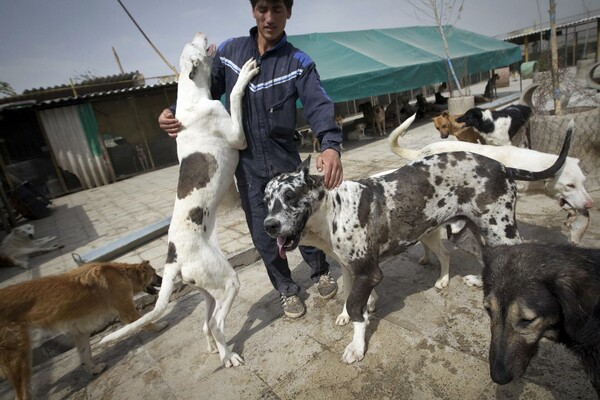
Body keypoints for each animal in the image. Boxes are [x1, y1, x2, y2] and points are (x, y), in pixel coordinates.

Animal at [0, 260, 163, 400]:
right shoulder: (127, 311)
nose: (163, 278)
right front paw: (158, 326)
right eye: (155, 273)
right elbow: (144, 320)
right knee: (21, 395)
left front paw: (94, 369)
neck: (124, 273)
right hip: (19, 356)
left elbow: (85, 354)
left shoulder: (80, 331)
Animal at [99, 32, 258, 368]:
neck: (192, 97)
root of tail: (173, 259)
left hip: (209, 288)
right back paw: (229, 356)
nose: (198, 32)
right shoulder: (237, 136)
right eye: (193, 45)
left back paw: (215, 350)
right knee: (216, 324)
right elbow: (234, 96)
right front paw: (245, 75)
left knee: (206, 324)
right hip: (228, 282)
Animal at [264, 126, 572, 364]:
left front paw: (357, 345)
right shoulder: (350, 268)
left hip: (500, 230)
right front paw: (347, 315)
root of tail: (503, 166)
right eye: (265, 201)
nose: (269, 225)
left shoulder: (369, 272)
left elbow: (355, 307)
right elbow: (349, 297)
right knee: (481, 255)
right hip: (469, 231)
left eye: (290, 196)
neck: (333, 210)